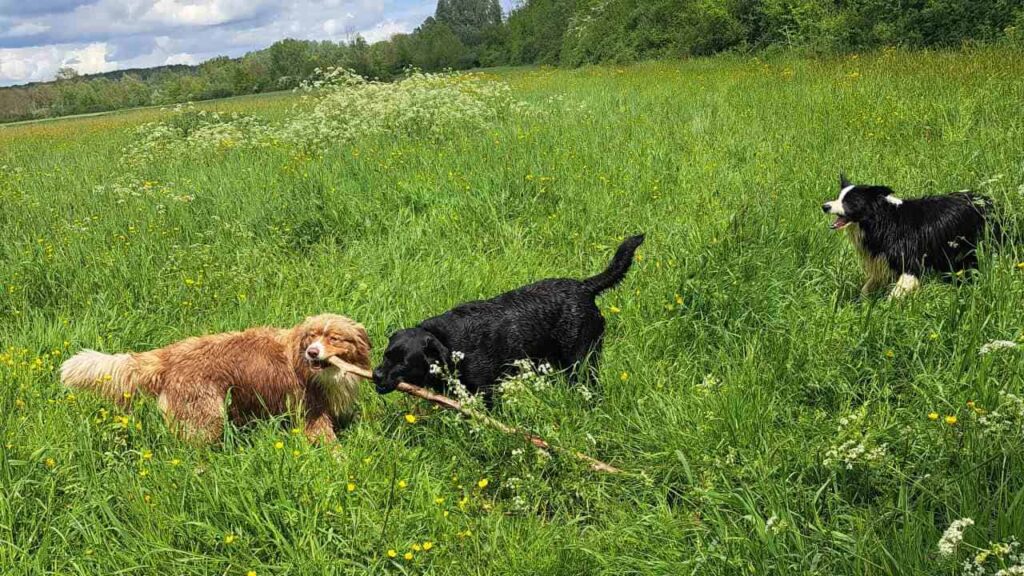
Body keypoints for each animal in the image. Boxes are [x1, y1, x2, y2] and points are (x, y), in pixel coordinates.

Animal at [60, 313, 372, 438]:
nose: (312, 353)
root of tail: (168, 354)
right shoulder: (310, 411)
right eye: (311, 336)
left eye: (334, 338)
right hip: (206, 416)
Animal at [372, 233, 643, 399]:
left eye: (404, 363)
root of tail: (585, 287)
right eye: (386, 355)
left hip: (581, 364)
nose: (375, 375)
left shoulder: (486, 392)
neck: (448, 343)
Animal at [823, 171, 991, 295]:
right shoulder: (882, 261)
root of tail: (985, 200)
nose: (825, 206)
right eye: (838, 197)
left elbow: (895, 295)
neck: (883, 221)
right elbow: (866, 289)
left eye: (849, 201)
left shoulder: (910, 262)